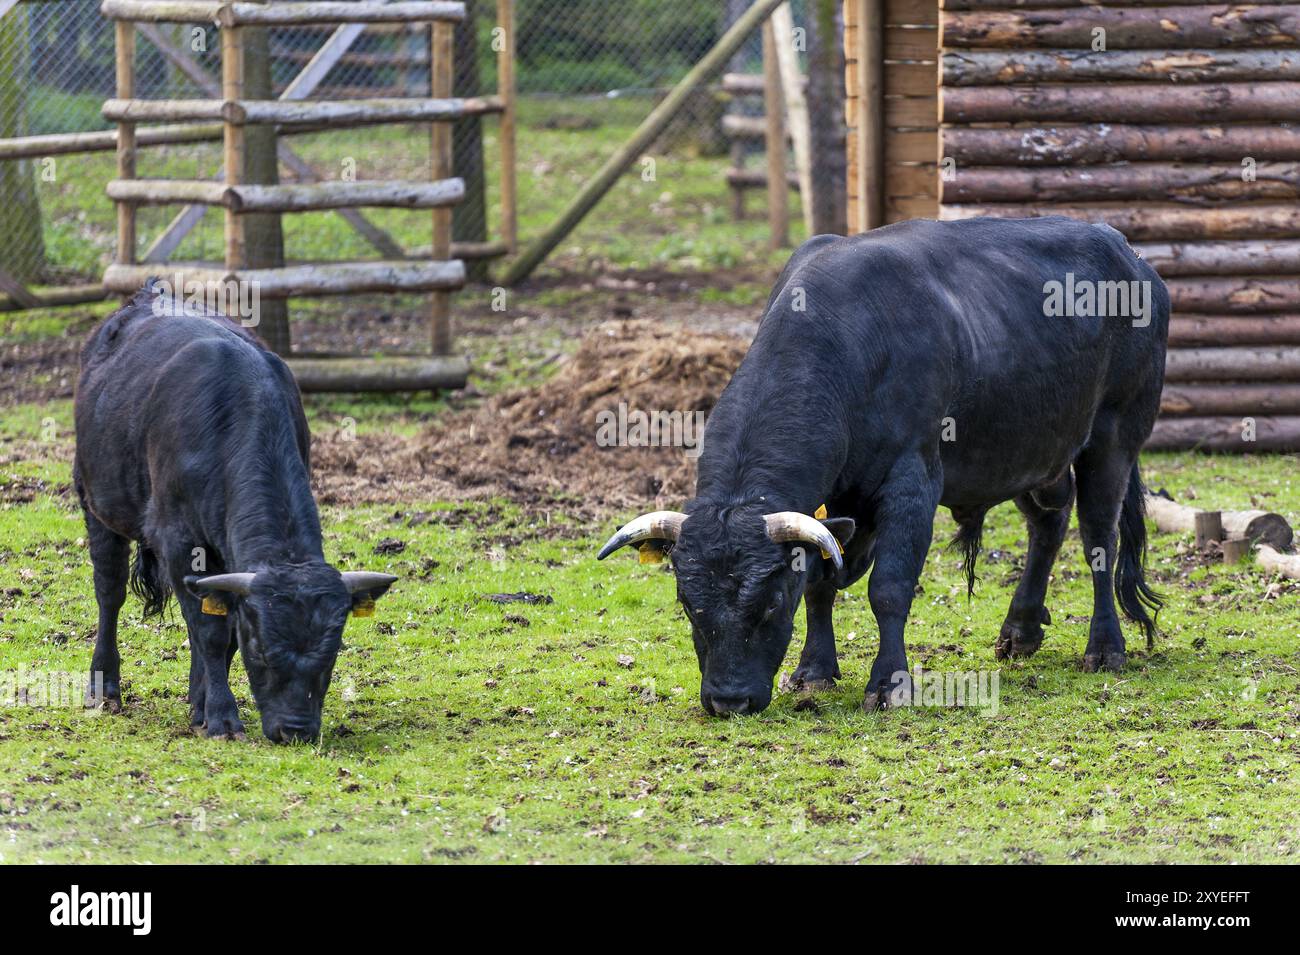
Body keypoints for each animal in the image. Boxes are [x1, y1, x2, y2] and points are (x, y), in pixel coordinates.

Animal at [71, 285, 392, 748]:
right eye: (263, 651)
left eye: (331, 654)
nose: (295, 731)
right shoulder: (179, 542)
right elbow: (209, 630)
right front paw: (222, 716)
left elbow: (221, 636)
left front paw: (204, 706)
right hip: (97, 504)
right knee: (109, 592)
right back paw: (105, 688)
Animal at [598, 216, 1170, 717]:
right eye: (688, 603)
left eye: (771, 603)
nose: (728, 700)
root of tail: (1129, 254)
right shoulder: (835, 505)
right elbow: (821, 583)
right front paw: (814, 671)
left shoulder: (912, 482)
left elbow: (889, 589)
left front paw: (889, 684)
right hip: (1035, 452)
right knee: (1048, 525)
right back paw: (1020, 630)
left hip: (1113, 437)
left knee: (1099, 538)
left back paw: (1105, 646)